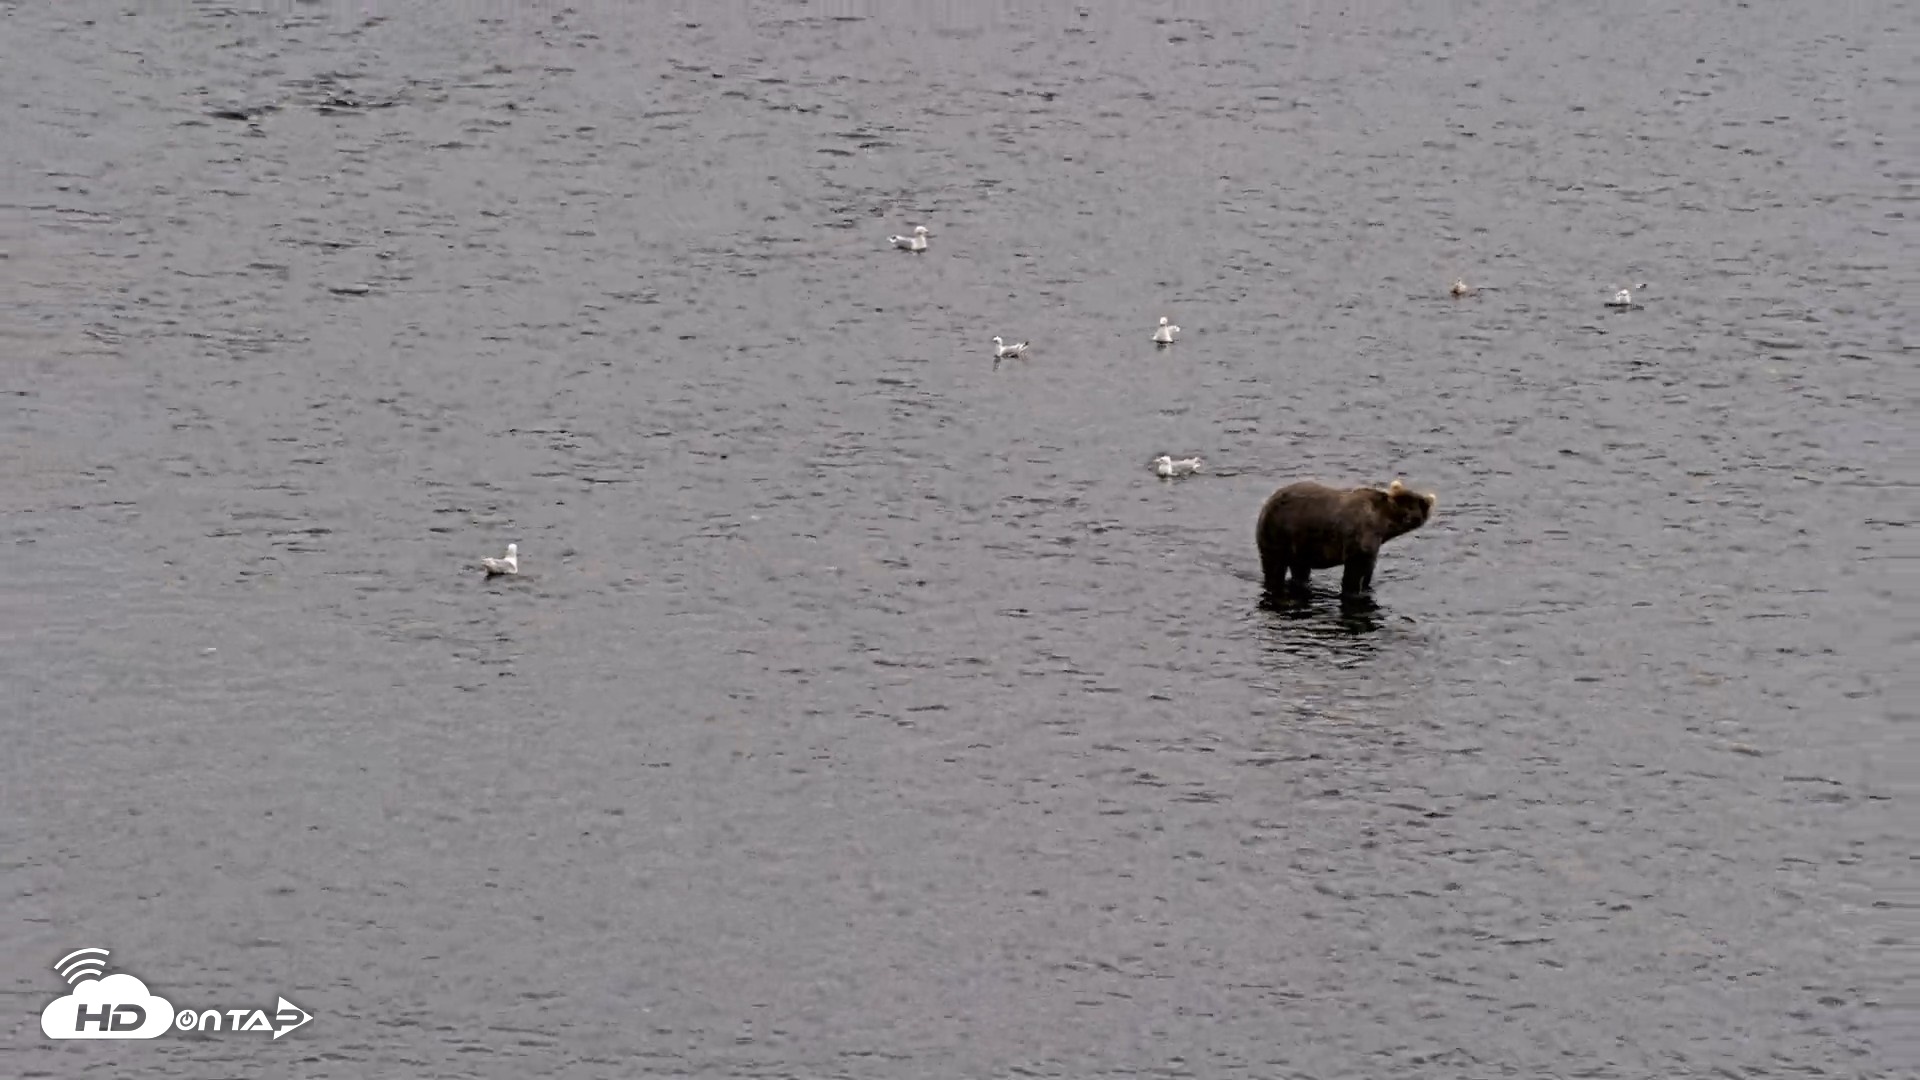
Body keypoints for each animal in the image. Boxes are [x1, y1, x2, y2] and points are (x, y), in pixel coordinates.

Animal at [1256, 478, 1437, 598]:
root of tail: (1267, 503)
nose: (1410, 517)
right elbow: (1354, 572)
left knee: (1300, 568)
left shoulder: (1373, 544)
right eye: (1410, 505)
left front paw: (1366, 587)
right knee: (1274, 565)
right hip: (1279, 532)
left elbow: (1368, 570)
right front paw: (1353, 591)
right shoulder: (1360, 536)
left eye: (1416, 506)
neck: (1383, 525)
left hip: (1301, 543)